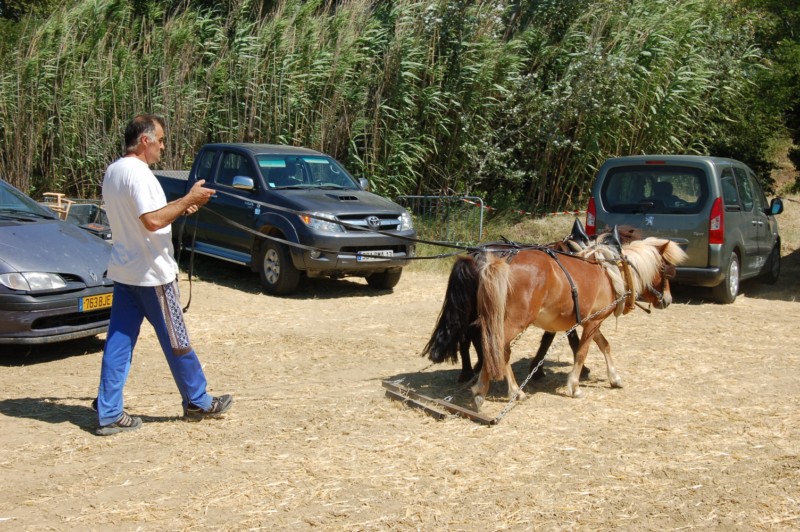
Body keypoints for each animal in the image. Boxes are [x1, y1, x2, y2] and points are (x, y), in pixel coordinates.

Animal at [472, 235, 684, 410]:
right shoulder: (593, 322)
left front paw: (614, 378)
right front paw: (574, 386)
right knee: (498, 347)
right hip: (516, 321)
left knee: (499, 349)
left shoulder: (592, 320)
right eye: (664, 269)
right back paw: (494, 390)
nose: (668, 299)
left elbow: (605, 345)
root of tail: (502, 262)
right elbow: (582, 352)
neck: (611, 273)